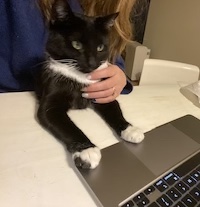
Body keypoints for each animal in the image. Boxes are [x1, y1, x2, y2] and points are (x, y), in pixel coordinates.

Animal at [34, 0, 144, 169]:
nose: (92, 63)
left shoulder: (103, 91)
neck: (80, 78)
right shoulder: (50, 102)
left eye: (100, 47)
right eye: (76, 44)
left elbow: (115, 110)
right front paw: (87, 151)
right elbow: (67, 126)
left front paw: (130, 130)